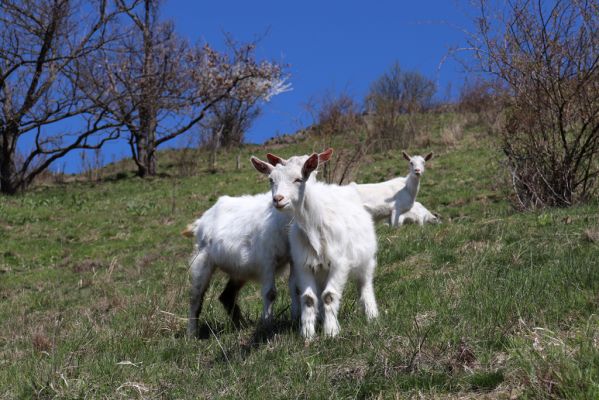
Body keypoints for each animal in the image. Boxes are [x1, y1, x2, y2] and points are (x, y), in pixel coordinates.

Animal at [185, 155, 314, 336]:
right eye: (271, 179)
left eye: (303, 176)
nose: (279, 199)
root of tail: (201, 220)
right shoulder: (267, 260)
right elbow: (270, 293)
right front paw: (267, 324)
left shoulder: (293, 259)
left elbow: (295, 287)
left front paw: (295, 319)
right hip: (202, 259)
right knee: (195, 296)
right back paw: (192, 333)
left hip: (239, 270)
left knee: (227, 296)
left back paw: (241, 325)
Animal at [251, 148, 378, 340]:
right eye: (271, 180)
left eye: (298, 179)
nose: (278, 199)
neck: (313, 223)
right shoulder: (302, 263)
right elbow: (309, 298)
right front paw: (307, 334)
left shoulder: (339, 262)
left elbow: (329, 296)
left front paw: (331, 332)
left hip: (365, 258)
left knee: (365, 284)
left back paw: (372, 315)